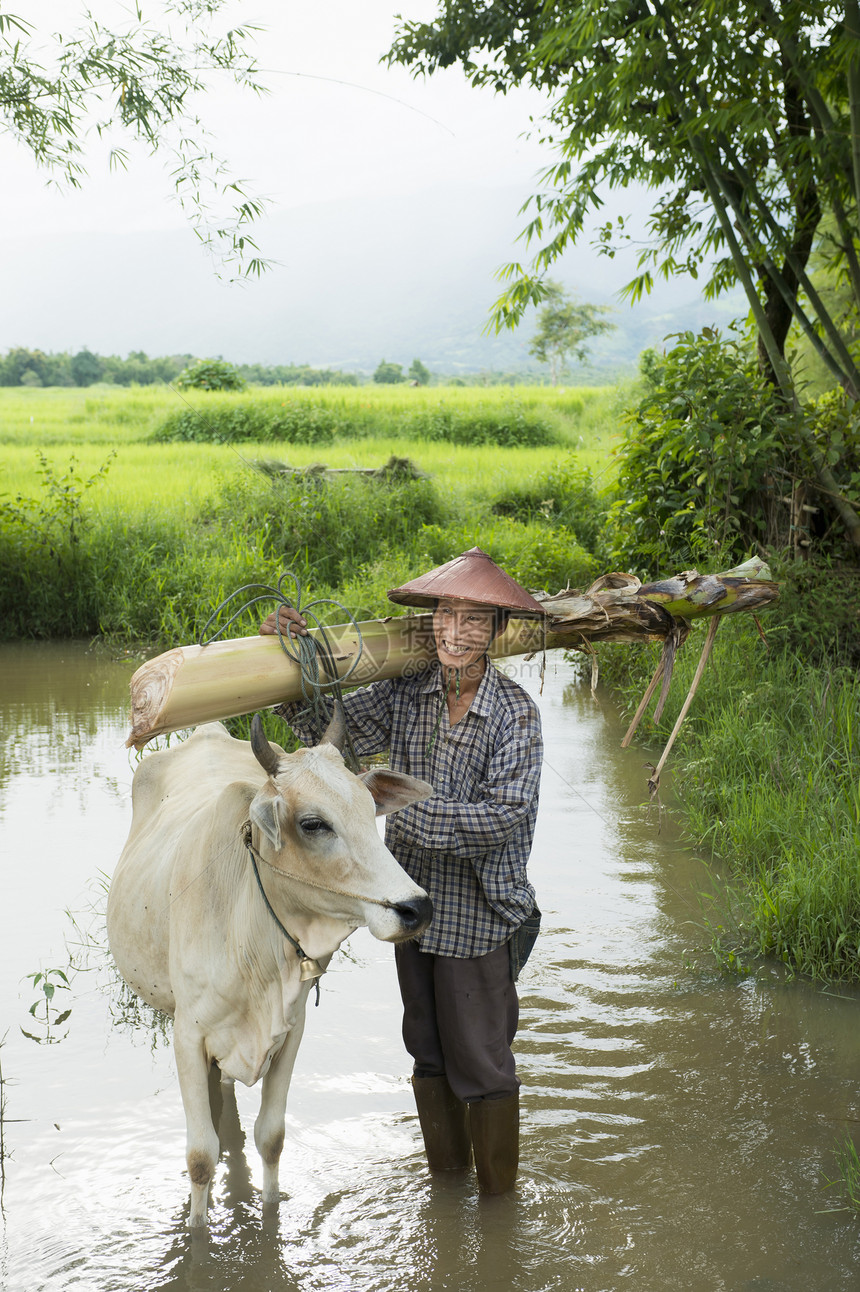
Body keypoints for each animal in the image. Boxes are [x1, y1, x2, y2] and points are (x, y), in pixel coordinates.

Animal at [106, 713, 431, 1224]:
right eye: (314, 824)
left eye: (368, 810)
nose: (417, 908)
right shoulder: (186, 1036)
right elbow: (201, 1157)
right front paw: (198, 1232)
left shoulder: (291, 1030)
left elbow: (271, 1139)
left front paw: (270, 1214)